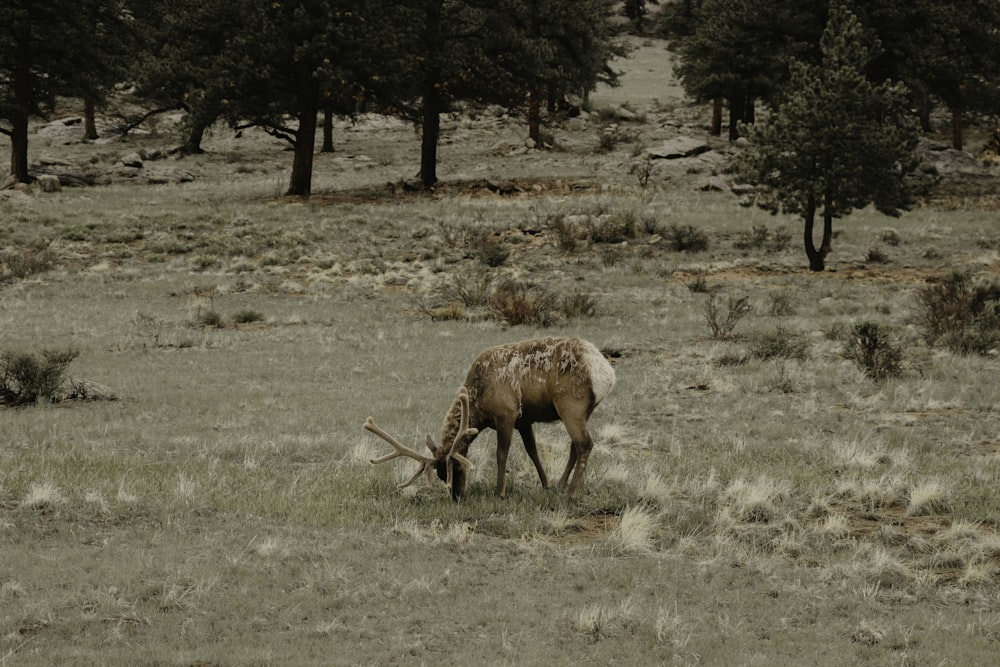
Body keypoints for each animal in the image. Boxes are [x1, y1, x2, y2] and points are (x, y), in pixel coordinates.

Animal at [366, 340, 612, 500]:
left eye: (457, 466)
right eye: (440, 475)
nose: (456, 496)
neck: (479, 405)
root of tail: (606, 373)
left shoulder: (506, 414)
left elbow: (501, 454)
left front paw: (499, 492)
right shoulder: (524, 420)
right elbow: (532, 451)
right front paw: (546, 484)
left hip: (570, 404)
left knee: (584, 443)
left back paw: (571, 494)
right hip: (583, 411)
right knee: (575, 445)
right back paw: (561, 484)